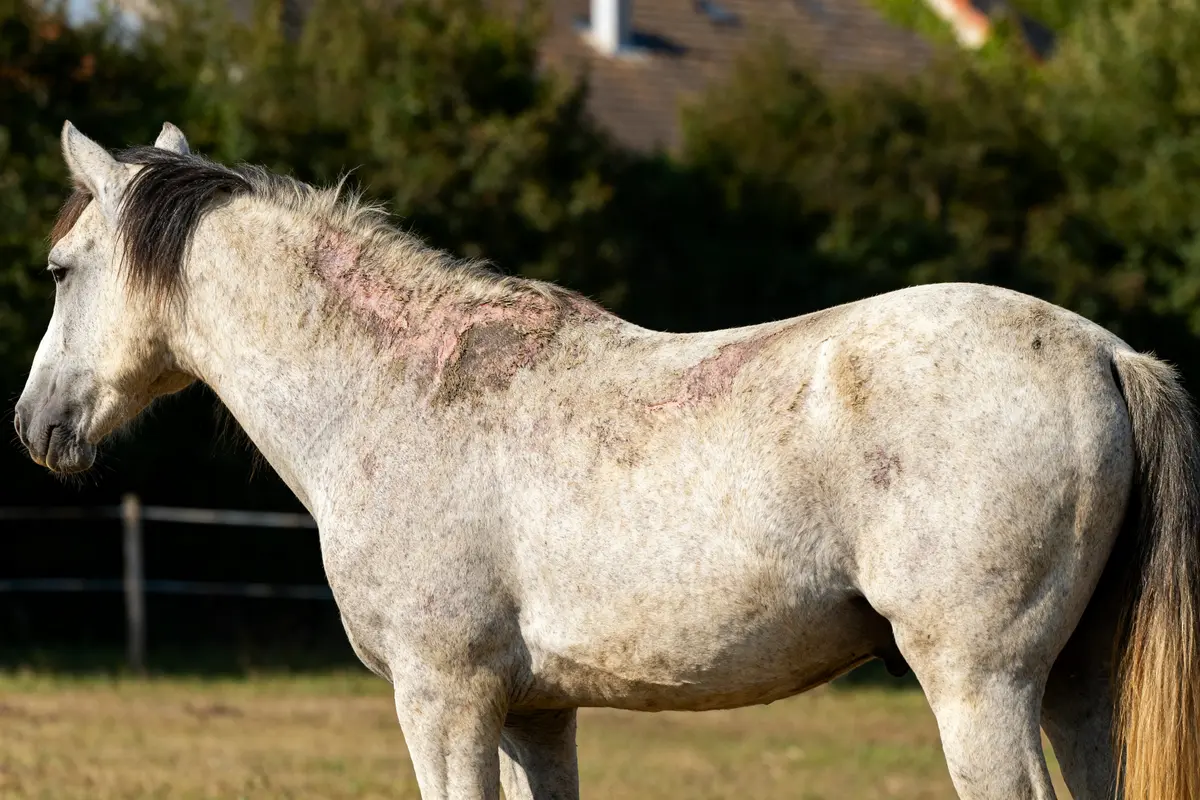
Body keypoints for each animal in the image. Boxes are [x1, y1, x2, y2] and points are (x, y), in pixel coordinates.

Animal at [14, 121, 1200, 799]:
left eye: (62, 269)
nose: (34, 424)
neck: (394, 392)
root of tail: (1107, 352)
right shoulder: (537, 713)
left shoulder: (445, 700)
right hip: (1076, 686)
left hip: (981, 687)